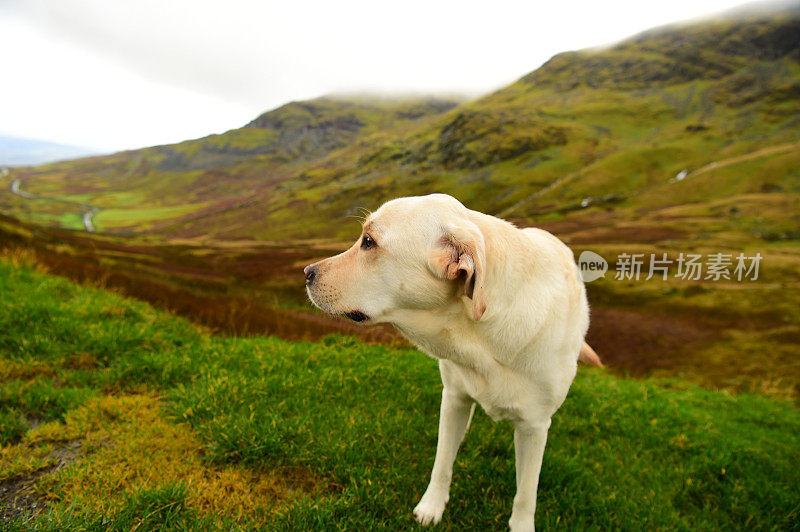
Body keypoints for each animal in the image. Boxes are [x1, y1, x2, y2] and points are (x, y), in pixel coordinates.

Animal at [304, 193, 600, 528]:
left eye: (369, 242)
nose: (307, 273)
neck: (480, 338)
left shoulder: (534, 427)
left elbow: (526, 494)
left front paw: (522, 525)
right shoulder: (454, 399)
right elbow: (442, 461)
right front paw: (432, 506)